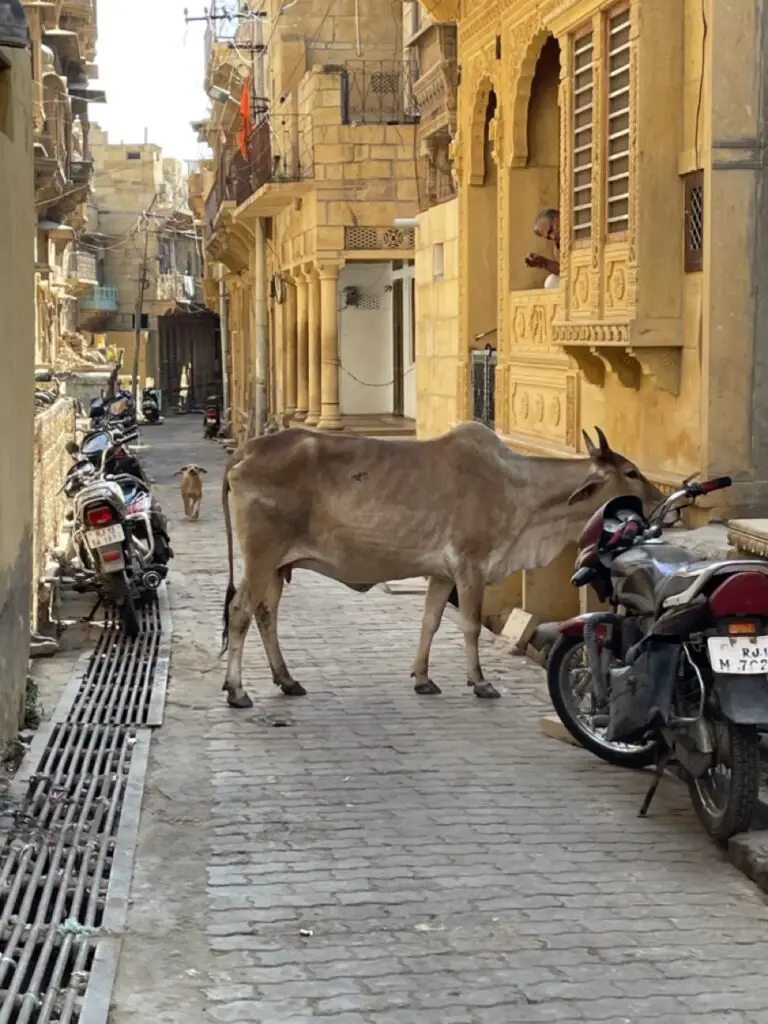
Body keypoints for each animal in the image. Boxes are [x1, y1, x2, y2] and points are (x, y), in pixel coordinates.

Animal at [219, 419, 663, 708]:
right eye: (631, 471)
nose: (660, 498)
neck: (519, 491)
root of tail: (246, 450)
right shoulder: (471, 566)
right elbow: (470, 626)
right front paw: (480, 682)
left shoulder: (439, 573)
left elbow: (430, 622)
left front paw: (423, 678)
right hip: (260, 557)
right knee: (240, 612)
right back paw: (238, 691)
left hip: (277, 567)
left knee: (266, 615)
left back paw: (286, 679)